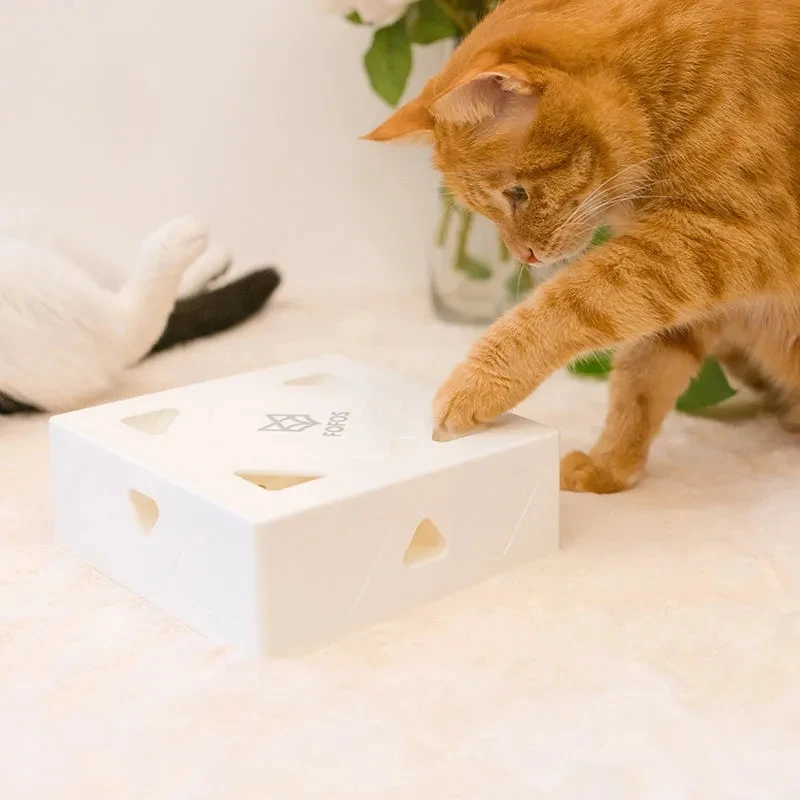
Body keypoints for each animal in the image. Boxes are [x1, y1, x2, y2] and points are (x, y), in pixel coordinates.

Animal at [365, 0, 800, 493]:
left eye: (517, 193)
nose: (523, 255)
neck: (669, 82)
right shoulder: (686, 283)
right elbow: (641, 377)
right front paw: (610, 464)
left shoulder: (720, 239)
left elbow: (565, 306)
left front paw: (476, 384)